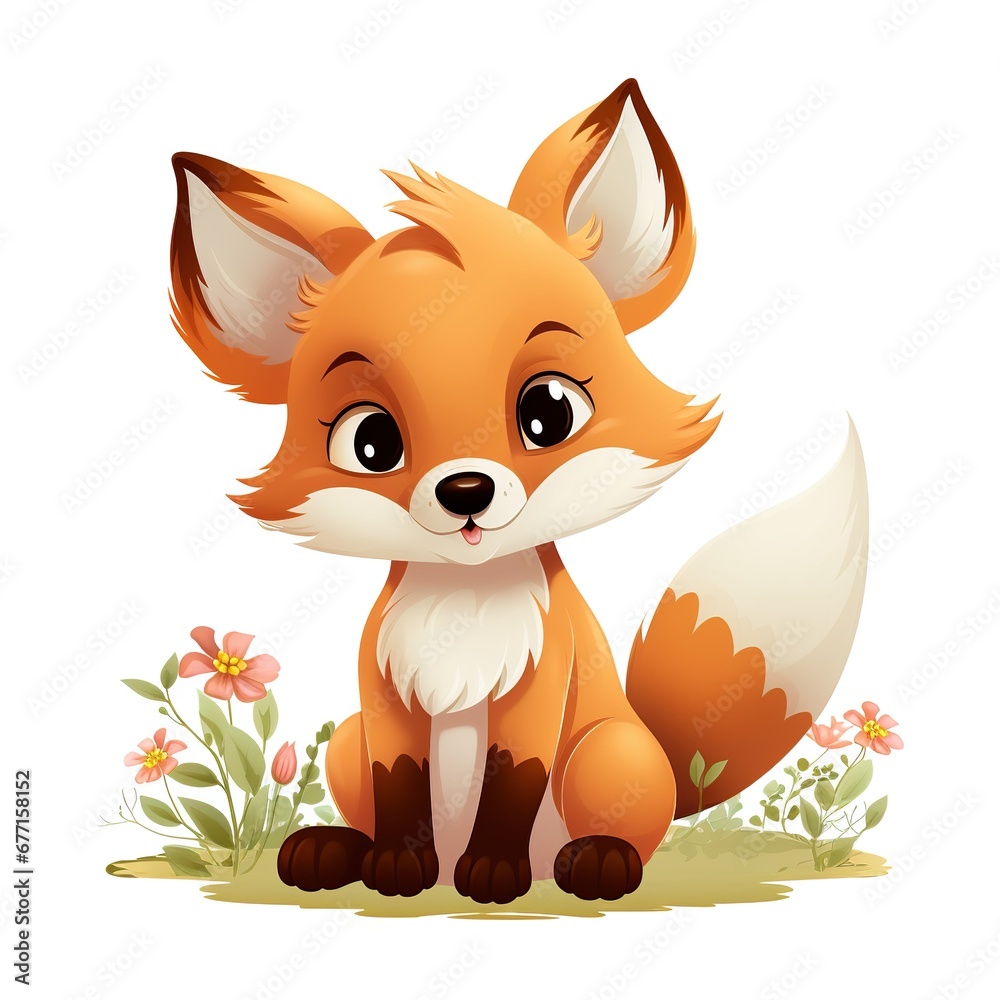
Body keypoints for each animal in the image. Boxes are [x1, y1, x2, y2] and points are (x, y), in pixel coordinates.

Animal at [167, 79, 868, 903]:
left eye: (549, 413)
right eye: (370, 442)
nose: (466, 489)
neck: (465, 608)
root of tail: (675, 768)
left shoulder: (542, 683)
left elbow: (513, 779)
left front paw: (492, 872)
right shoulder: (383, 696)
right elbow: (398, 779)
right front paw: (396, 866)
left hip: (609, 751)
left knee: (619, 832)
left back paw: (592, 862)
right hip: (344, 741)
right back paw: (333, 850)